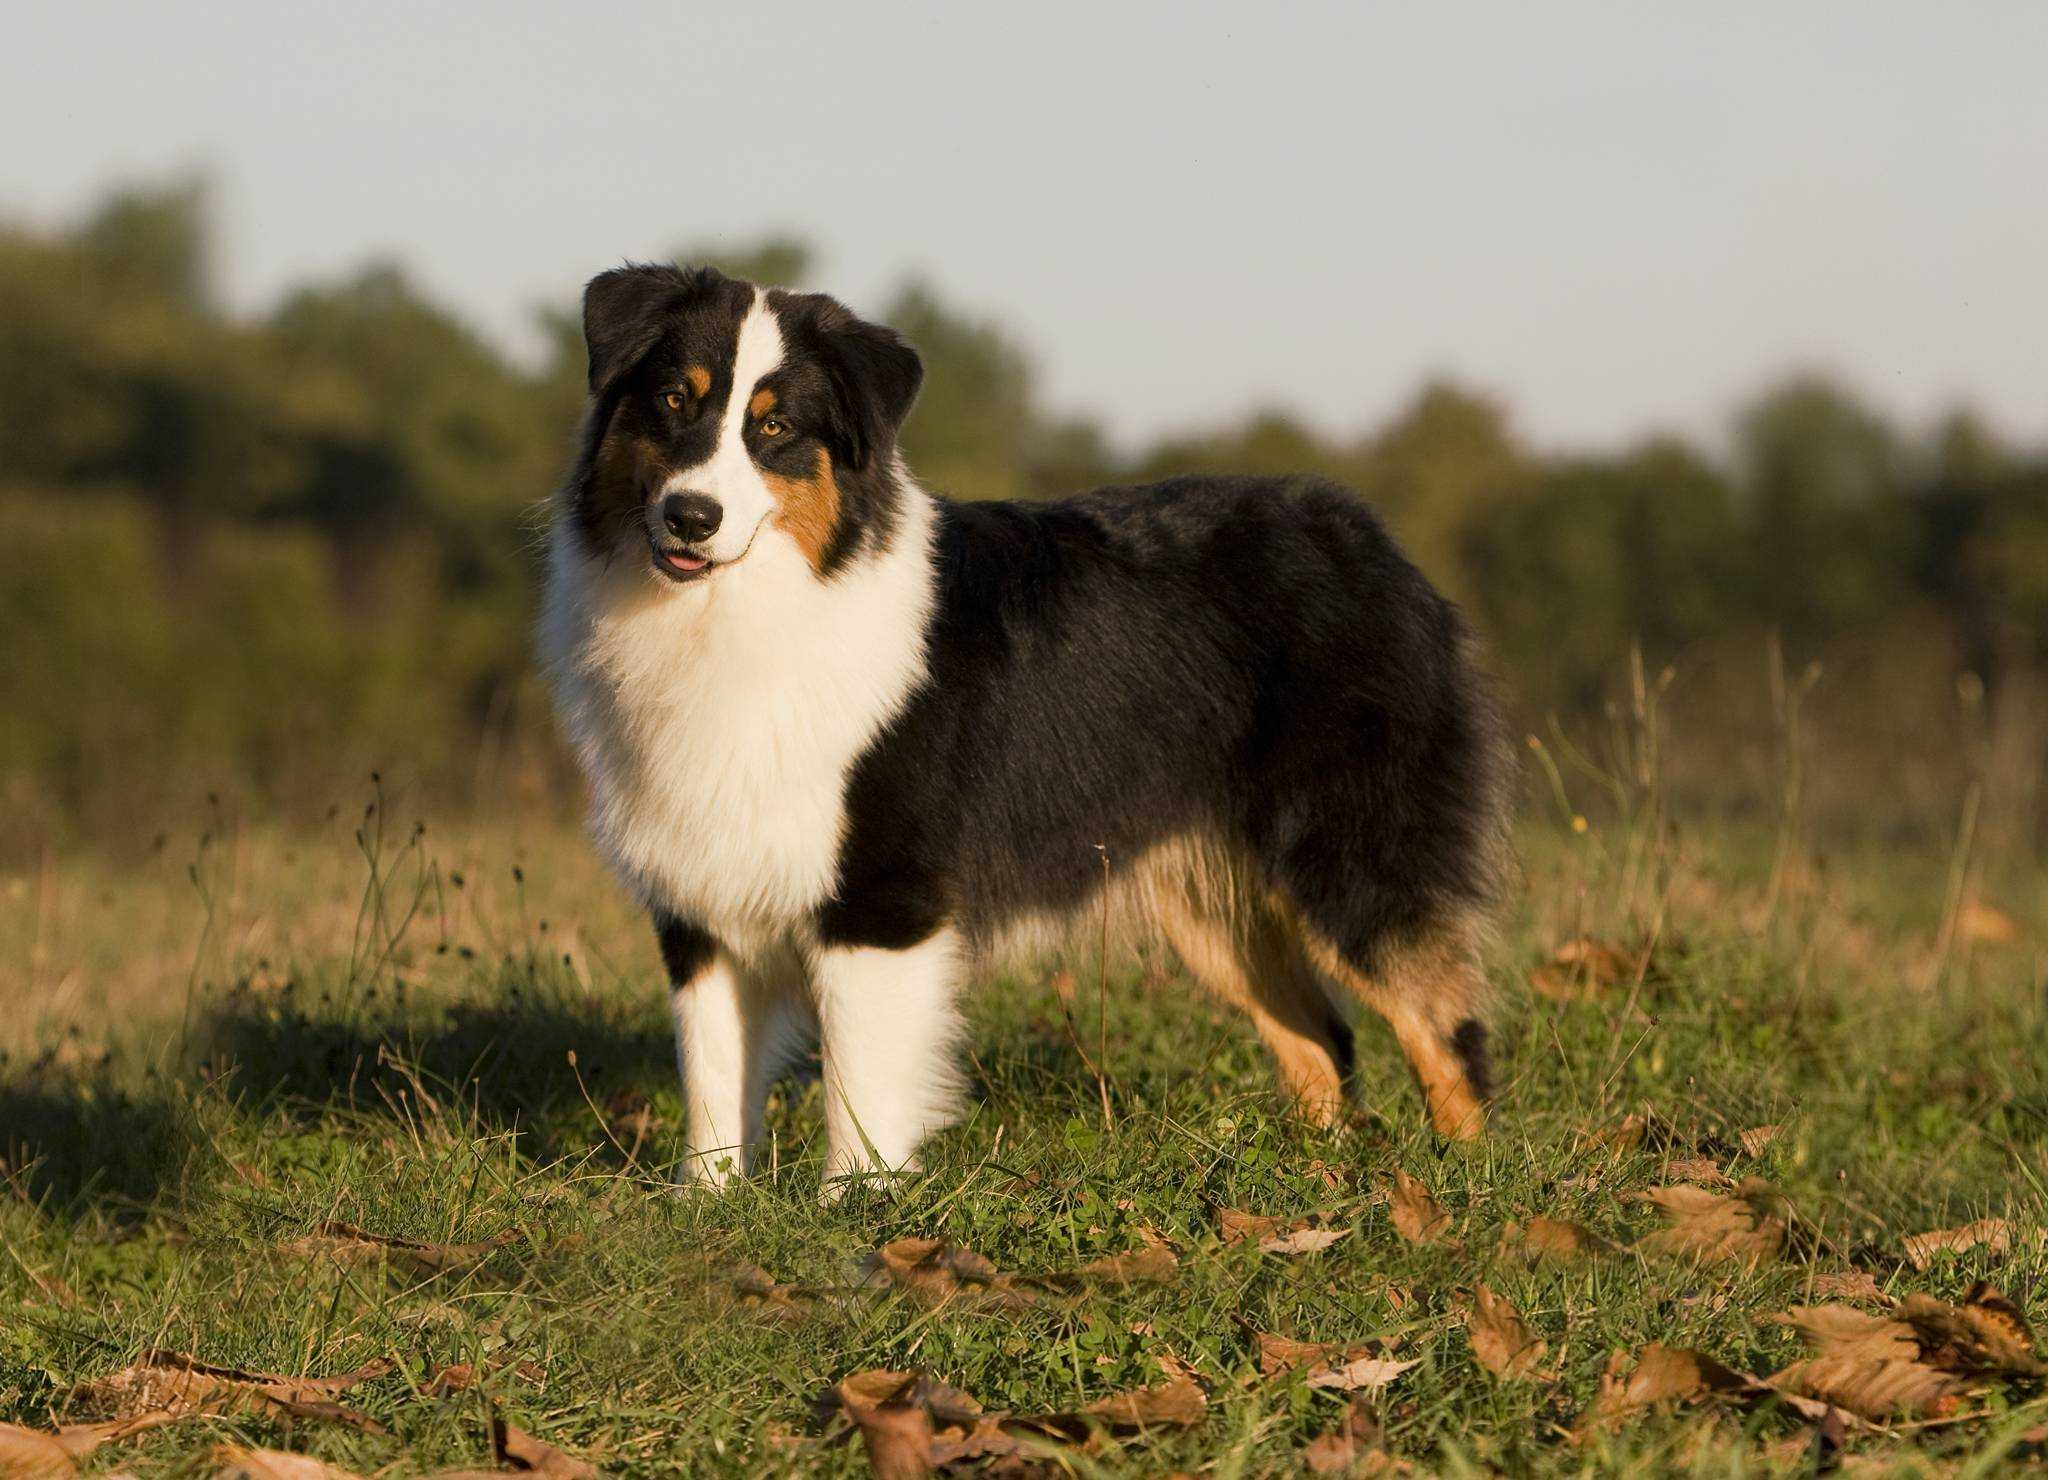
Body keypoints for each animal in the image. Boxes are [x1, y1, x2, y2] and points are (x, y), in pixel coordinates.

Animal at [536, 266, 1515, 1195]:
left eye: (775, 428)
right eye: (674, 401)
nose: (690, 516)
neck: (754, 609)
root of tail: (1371, 542)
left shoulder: (882, 895)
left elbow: (861, 1082)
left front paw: (855, 1209)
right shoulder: (700, 898)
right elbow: (712, 1077)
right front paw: (706, 1208)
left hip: (1353, 860)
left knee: (1445, 1027)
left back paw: (1467, 1187)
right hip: (1211, 902)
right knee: (1323, 1041)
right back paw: (1314, 1180)